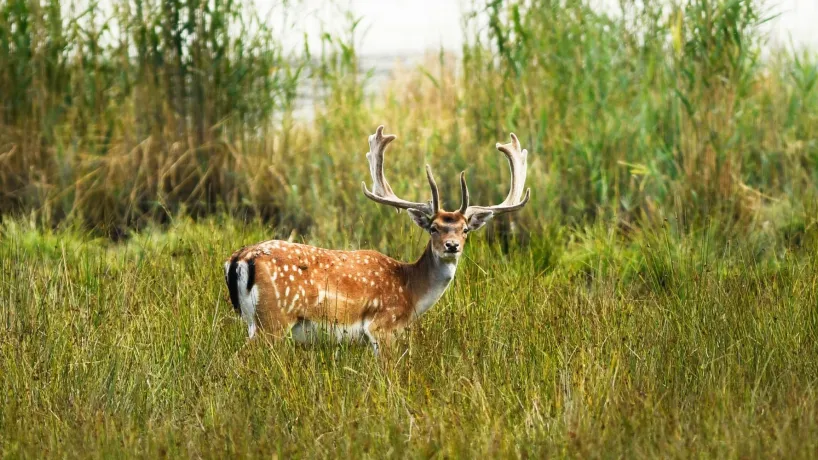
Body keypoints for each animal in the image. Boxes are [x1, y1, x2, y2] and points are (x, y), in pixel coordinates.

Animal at [223, 126, 528, 356]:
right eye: (434, 228)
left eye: (465, 230)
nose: (451, 246)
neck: (410, 292)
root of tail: (239, 259)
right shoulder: (383, 327)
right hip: (273, 319)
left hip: (253, 321)